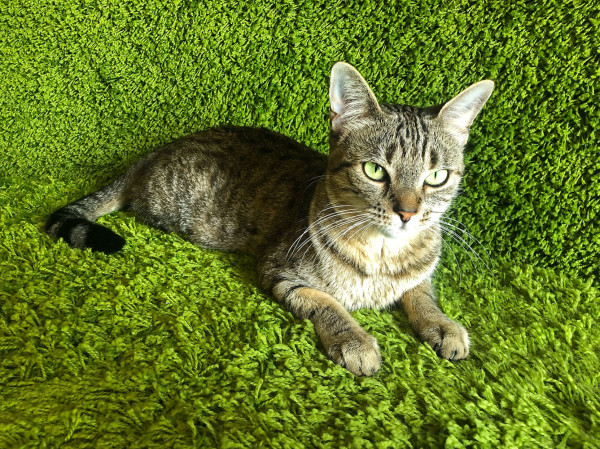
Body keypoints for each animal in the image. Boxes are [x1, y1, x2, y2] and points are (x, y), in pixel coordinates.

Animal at [45, 62, 492, 374]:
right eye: (375, 171)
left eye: (436, 177)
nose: (407, 212)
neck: (382, 253)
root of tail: (152, 152)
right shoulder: (281, 272)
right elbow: (329, 303)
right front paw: (356, 340)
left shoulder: (418, 274)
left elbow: (422, 294)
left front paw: (442, 324)